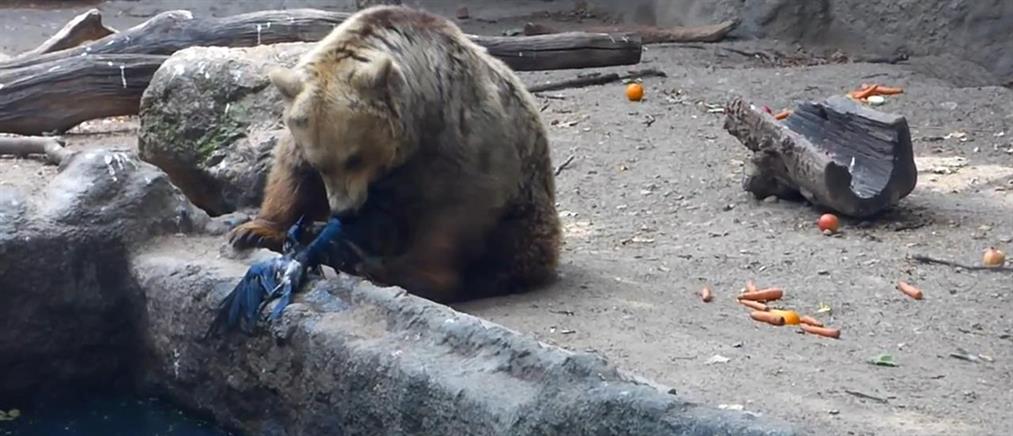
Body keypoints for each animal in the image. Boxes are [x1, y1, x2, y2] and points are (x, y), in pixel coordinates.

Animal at [227, 5, 563, 302]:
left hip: (527, 211)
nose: (344, 210)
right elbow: (291, 175)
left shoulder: (458, 137)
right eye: (321, 164)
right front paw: (254, 230)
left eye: (354, 158)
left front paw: (409, 273)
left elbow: (453, 213)